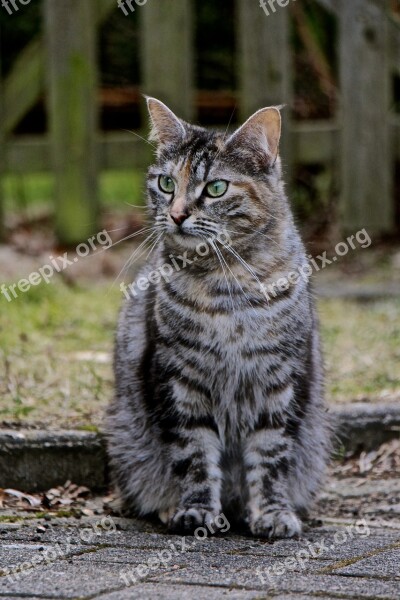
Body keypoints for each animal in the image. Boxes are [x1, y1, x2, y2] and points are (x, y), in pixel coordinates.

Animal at [104, 98, 330, 540]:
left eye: (216, 188)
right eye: (167, 184)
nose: (176, 215)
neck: (226, 287)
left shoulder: (279, 381)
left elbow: (270, 456)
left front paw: (273, 514)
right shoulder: (180, 379)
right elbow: (193, 453)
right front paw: (196, 511)